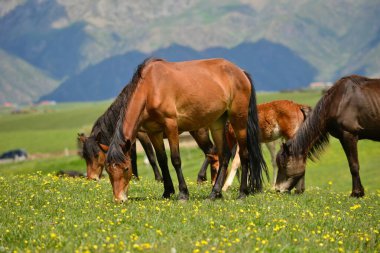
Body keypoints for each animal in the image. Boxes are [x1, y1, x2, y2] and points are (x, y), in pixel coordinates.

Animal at [106, 57, 268, 204]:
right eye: (108, 171)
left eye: (126, 168)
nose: (119, 199)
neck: (151, 88)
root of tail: (241, 72)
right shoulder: (153, 132)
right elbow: (162, 160)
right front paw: (167, 191)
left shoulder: (171, 126)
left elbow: (175, 159)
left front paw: (183, 194)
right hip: (217, 123)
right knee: (224, 155)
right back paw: (215, 194)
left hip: (238, 120)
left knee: (244, 154)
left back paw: (242, 194)